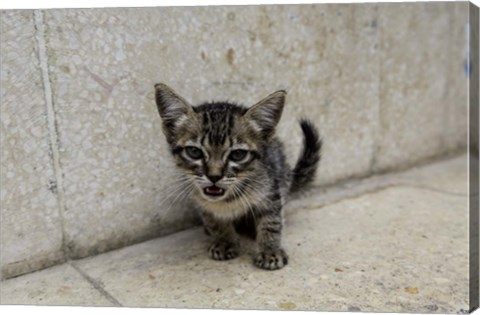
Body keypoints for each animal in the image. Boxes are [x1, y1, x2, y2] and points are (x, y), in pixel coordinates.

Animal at [156, 84, 320, 272]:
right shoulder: (202, 202)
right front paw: (224, 241)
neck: (227, 200)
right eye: (194, 152)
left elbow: (271, 222)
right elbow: (215, 221)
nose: (214, 176)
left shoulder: (271, 191)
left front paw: (270, 250)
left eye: (238, 154)